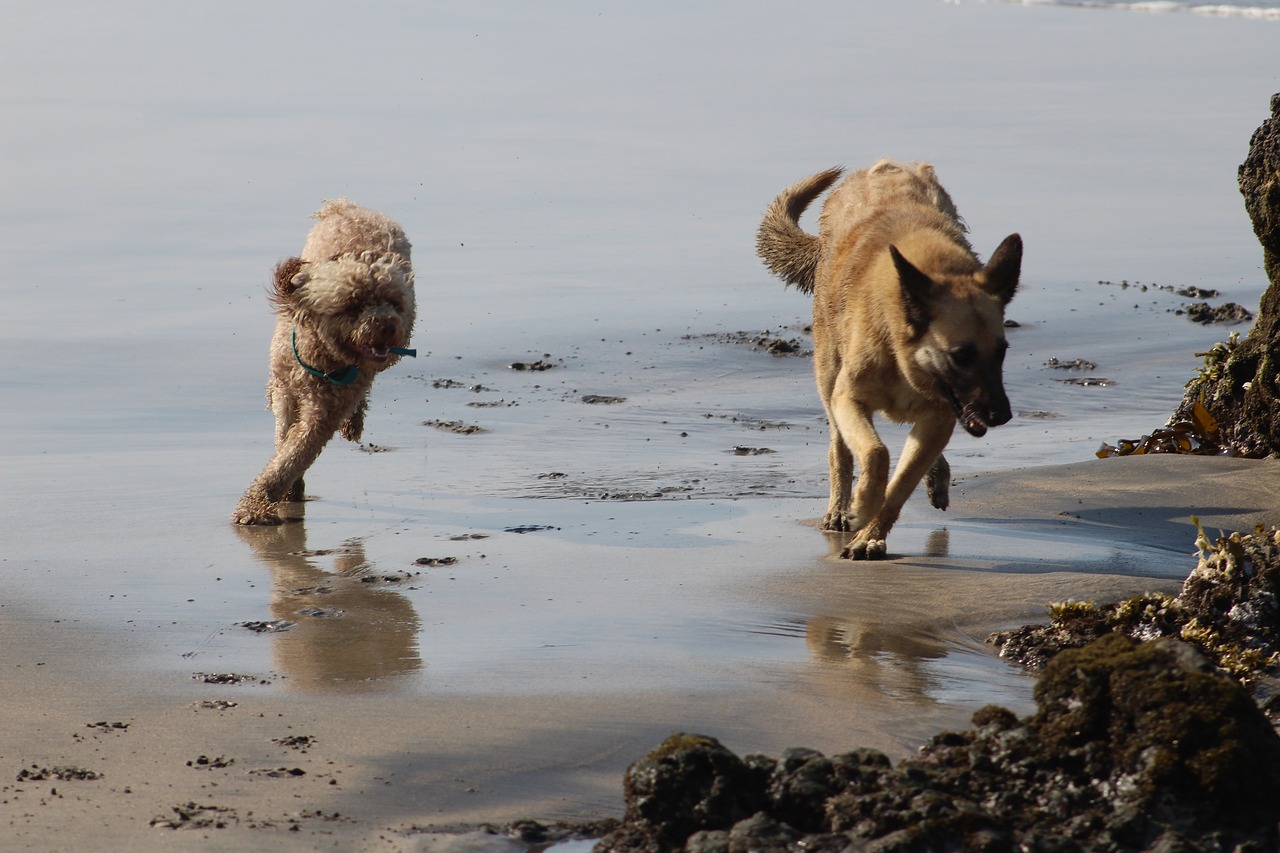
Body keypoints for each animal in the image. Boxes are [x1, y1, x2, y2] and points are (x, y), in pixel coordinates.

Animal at [232, 197, 417, 525]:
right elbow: (284, 441)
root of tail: (348, 208)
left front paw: (257, 504)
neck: (323, 356)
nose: (388, 326)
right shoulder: (287, 391)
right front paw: (281, 493)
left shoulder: (325, 410)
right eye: (354, 305)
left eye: (394, 303)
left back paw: (354, 422)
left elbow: (296, 452)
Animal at [757, 159, 1018, 558]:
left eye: (1001, 351)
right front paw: (862, 506)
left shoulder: (939, 419)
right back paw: (839, 508)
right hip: (828, 379)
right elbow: (876, 454)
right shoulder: (849, 399)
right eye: (961, 355)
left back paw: (934, 478)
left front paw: (871, 535)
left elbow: (899, 486)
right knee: (840, 450)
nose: (1001, 416)